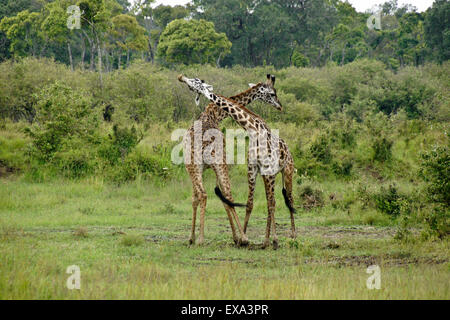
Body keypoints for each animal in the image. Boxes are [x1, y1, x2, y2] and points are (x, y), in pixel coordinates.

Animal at [178, 75, 298, 250]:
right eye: (272, 93)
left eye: (196, 81)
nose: (279, 106)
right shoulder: (252, 169)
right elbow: (244, 202)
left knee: (285, 199)